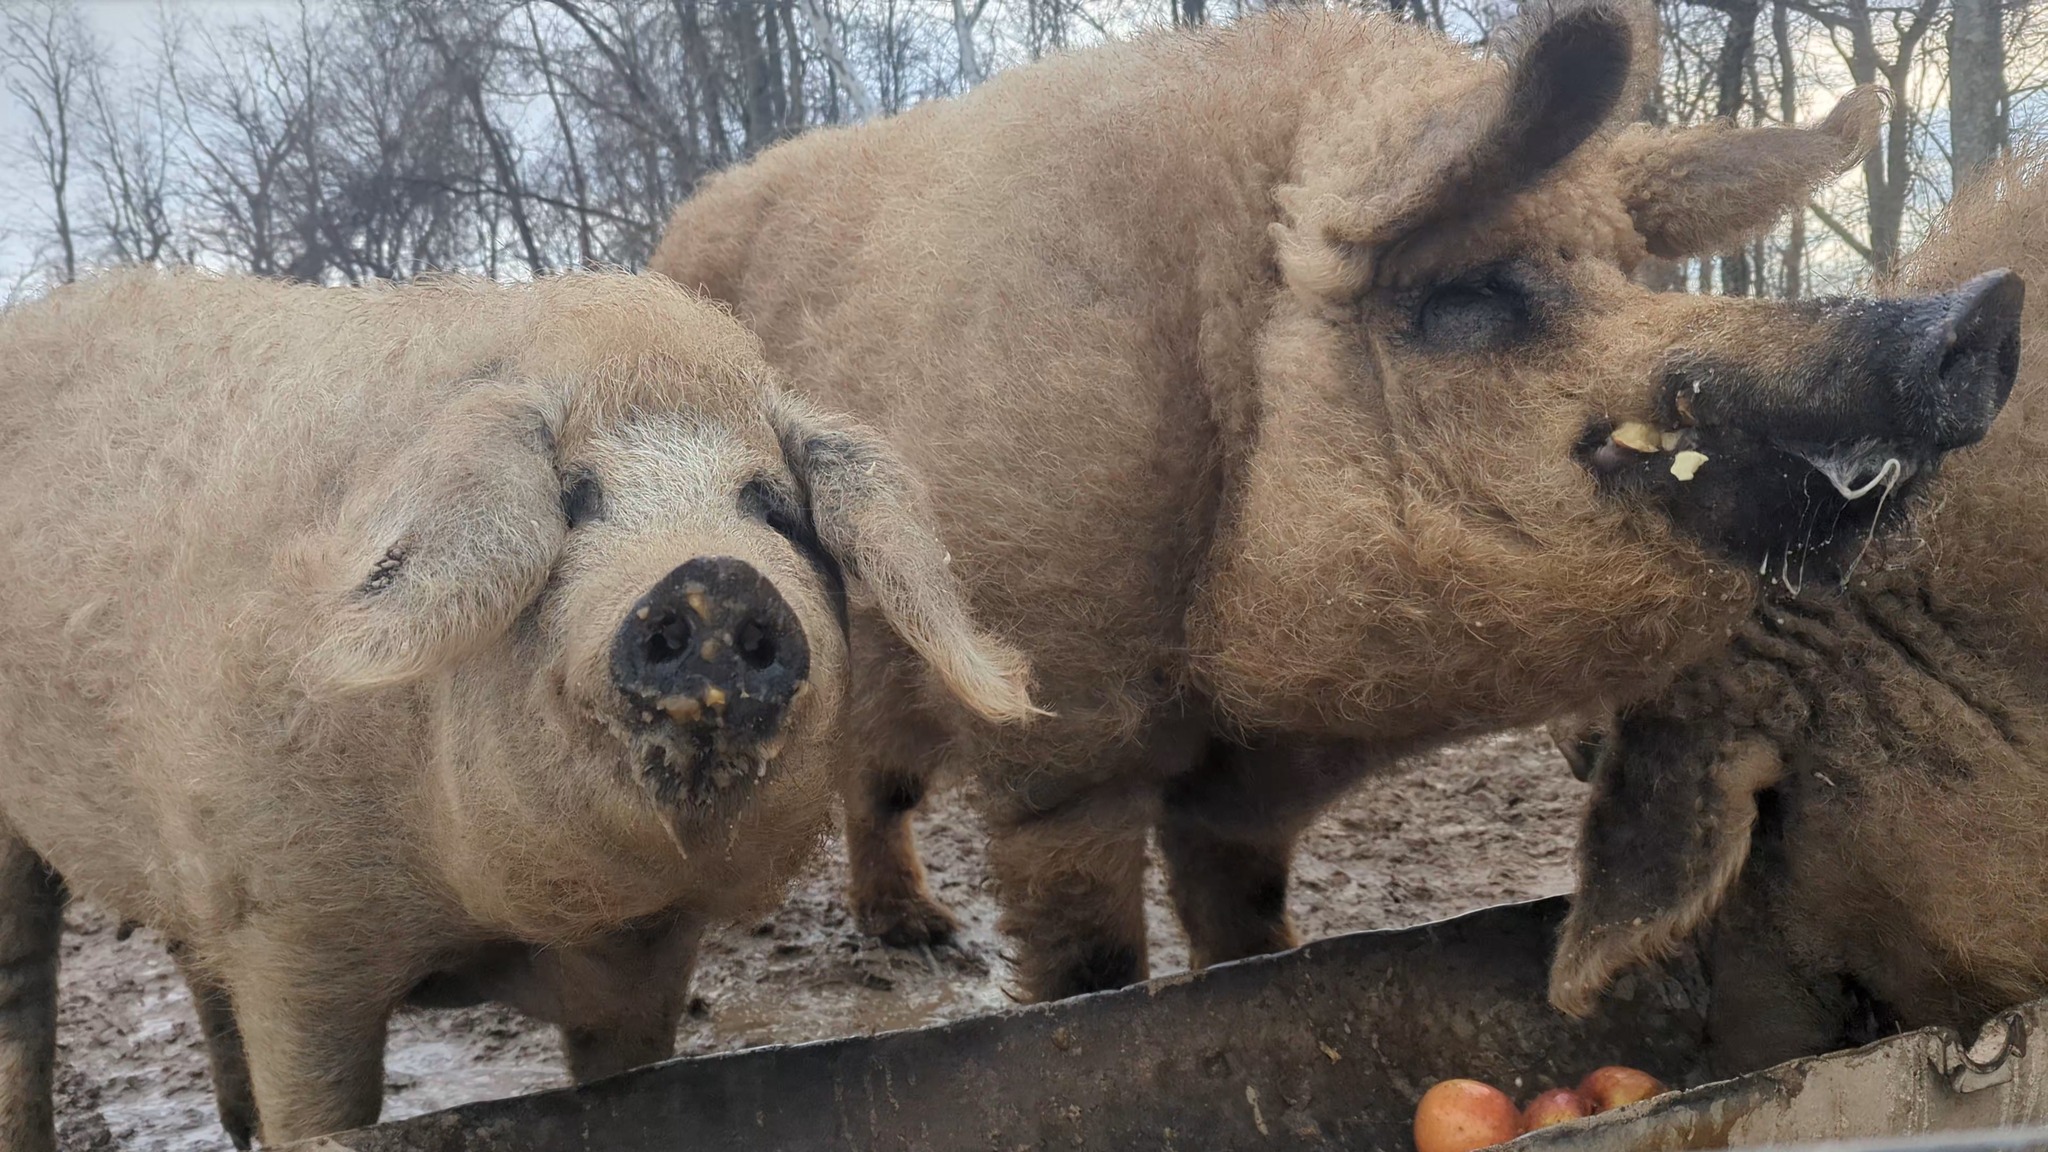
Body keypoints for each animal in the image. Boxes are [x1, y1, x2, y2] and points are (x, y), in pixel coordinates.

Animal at [0, 268, 1035, 1149]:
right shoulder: (287, 935)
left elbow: (626, 1079)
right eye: (576, 499)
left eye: (772, 507)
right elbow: (324, 1107)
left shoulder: (649, 960)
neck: (503, 927)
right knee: (25, 996)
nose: (713, 578)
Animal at [651, 0, 2023, 1003]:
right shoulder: (1056, 737)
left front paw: (1261, 972)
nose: (1978, 314)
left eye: (1633, 274)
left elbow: (1247, 925)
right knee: (863, 783)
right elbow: (1090, 958)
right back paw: (905, 942)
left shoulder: (1249, 793)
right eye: (1466, 298)